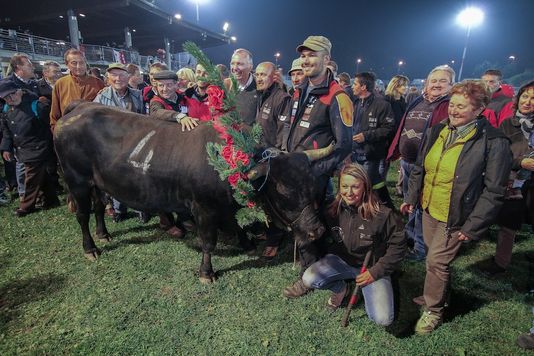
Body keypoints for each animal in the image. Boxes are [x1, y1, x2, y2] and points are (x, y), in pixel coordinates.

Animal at [54, 103, 330, 284]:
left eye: (312, 185)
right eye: (284, 191)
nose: (317, 230)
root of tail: (80, 108)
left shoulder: (223, 207)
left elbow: (234, 225)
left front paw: (247, 242)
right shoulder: (203, 209)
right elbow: (208, 242)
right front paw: (206, 273)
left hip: (96, 184)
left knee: (99, 207)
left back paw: (103, 234)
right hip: (77, 182)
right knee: (82, 215)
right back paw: (90, 248)